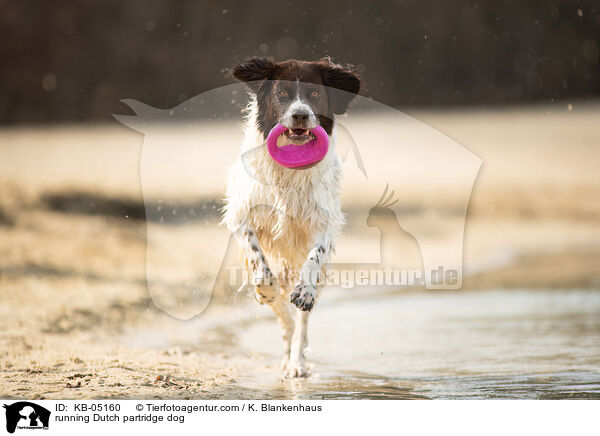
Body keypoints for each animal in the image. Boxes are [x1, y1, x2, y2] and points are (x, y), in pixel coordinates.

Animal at [221, 58, 358, 378]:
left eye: (316, 93)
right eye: (282, 93)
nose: (300, 115)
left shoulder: (324, 224)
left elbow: (314, 258)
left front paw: (304, 291)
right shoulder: (241, 216)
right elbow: (257, 257)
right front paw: (265, 289)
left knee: (300, 323)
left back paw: (297, 363)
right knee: (284, 317)